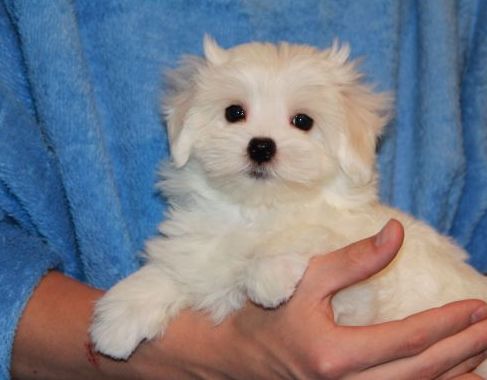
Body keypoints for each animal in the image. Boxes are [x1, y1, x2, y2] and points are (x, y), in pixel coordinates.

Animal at [88, 35, 487, 372]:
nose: (261, 146)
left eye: (303, 121)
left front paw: (268, 274)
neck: (255, 210)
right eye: (234, 113)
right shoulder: (198, 249)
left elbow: (308, 232)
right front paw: (121, 315)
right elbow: (172, 268)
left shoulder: (357, 293)